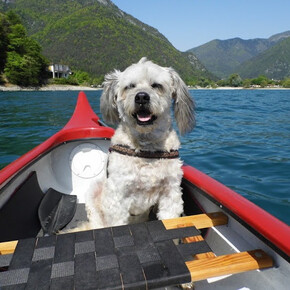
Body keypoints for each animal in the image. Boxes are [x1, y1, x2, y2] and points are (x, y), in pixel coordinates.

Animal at [88, 57, 194, 229]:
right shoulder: (117, 197)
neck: (147, 148)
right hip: (94, 192)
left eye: (156, 85)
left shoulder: (171, 193)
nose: (142, 97)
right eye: (130, 86)